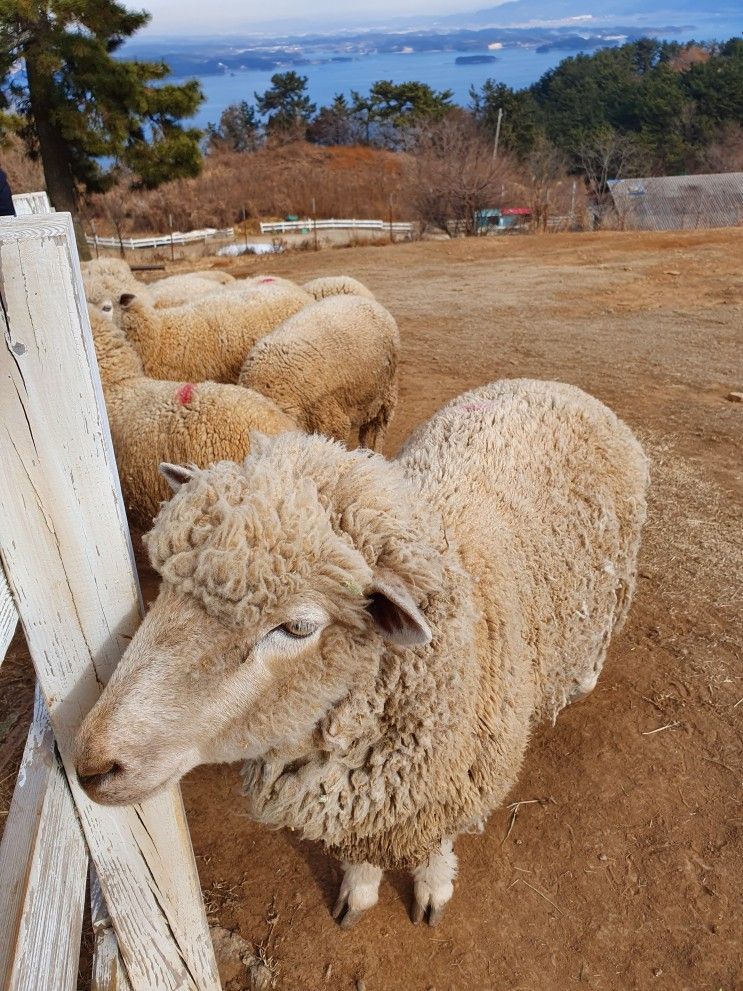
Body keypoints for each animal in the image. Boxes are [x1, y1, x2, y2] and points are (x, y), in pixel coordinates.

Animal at [72, 378, 648, 928]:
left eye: (298, 627)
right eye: (165, 584)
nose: (93, 765)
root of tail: (558, 386)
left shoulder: (450, 782)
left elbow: (434, 847)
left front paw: (433, 889)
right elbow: (359, 854)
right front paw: (360, 890)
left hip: (612, 583)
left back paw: (584, 680)